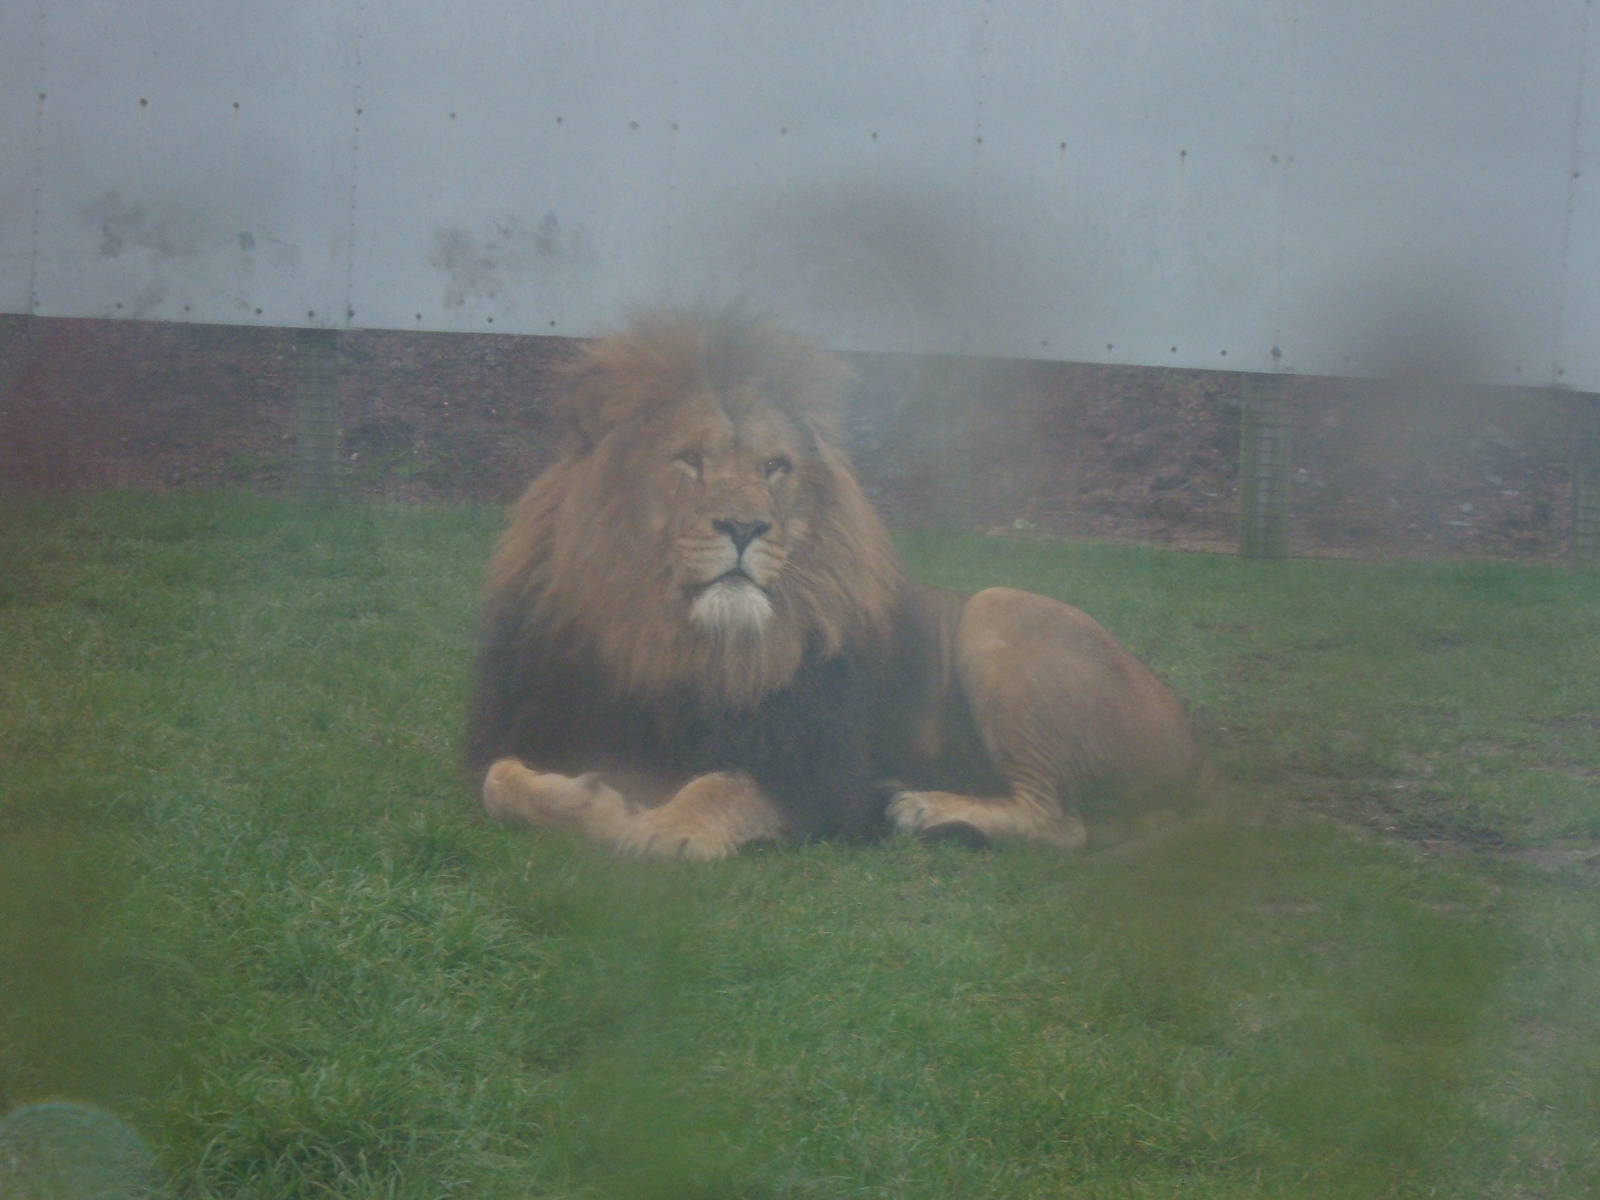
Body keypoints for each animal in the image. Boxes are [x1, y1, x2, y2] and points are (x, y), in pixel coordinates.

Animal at [467, 310, 1204, 859]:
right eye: (689, 460)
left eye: (775, 466)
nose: (746, 526)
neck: (672, 643)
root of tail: (1199, 754)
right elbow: (495, 781)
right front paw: (586, 796)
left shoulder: (829, 774)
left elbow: (717, 791)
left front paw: (652, 825)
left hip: (999, 610)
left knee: (1062, 820)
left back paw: (928, 807)